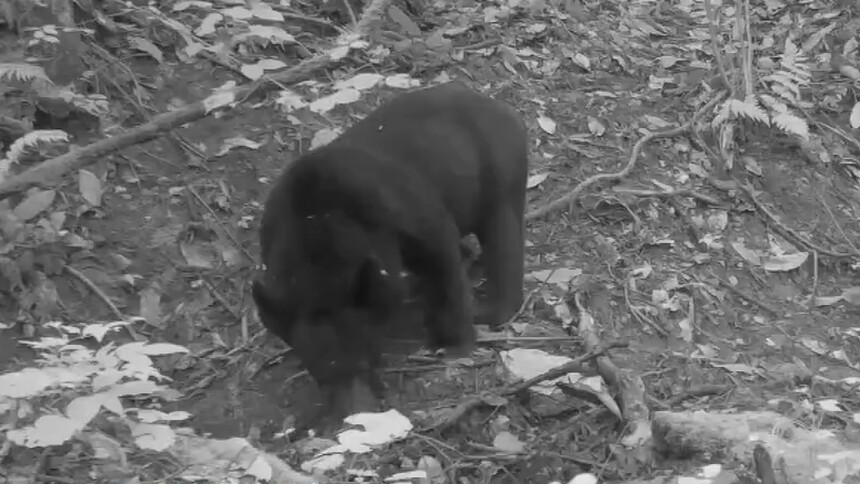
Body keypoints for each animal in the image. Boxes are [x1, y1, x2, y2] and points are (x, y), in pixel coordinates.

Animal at [252, 81, 529, 422]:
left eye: (366, 360)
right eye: (321, 376)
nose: (350, 414)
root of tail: (503, 109)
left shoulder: (402, 211)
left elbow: (441, 256)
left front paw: (455, 345)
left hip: (499, 170)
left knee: (502, 236)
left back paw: (493, 309)